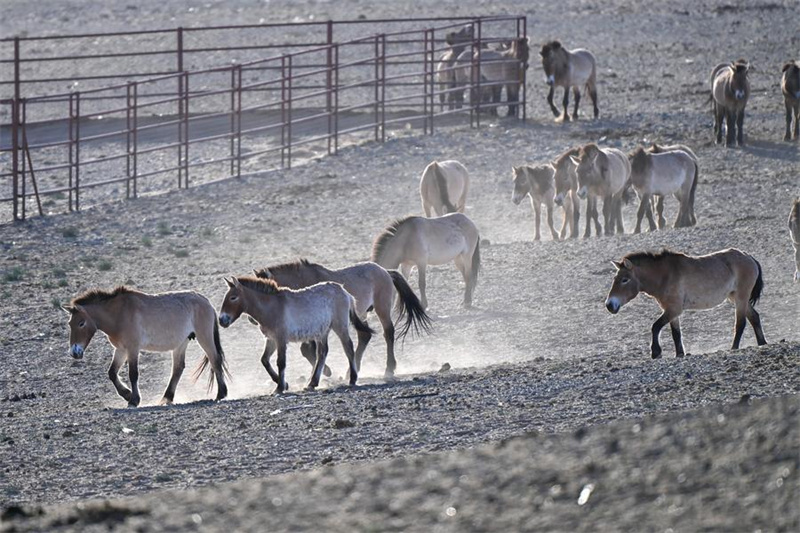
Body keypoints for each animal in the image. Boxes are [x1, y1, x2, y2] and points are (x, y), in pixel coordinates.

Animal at [61, 286, 228, 407]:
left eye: (81, 323)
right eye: (70, 323)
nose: (74, 352)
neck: (119, 314)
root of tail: (206, 301)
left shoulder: (133, 349)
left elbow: (133, 374)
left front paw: (133, 400)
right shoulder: (121, 349)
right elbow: (112, 373)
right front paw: (127, 394)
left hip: (204, 337)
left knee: (215, 359)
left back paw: (221, 394)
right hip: (181, 343)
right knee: (178, 368)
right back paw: (166, 398)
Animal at [218, 276, 373, 394]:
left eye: (233, 297)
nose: (221, 320)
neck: (271, 306)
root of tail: (344, 291)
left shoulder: (281, 339)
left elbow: (281, 362)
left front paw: (280, 388)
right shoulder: (271, 339)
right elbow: (264, 360)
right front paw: (283, 384)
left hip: (340, 327)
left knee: (348, 348)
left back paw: (352, 379)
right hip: (322, 332)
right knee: (322, 353)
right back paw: (312, 383)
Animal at [254, 259, 432, 379]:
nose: (253, 320)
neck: (303, 281)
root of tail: (386, 272)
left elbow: (308, 350)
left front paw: (325, 371)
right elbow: (307, 350)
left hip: (382, 309)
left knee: (388, 333)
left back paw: (389, 368)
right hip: (361, 314)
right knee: (365, 336)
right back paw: (351, 371)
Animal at [605, 249, 767, 359]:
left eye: (625, 279)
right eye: (614, 279)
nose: (609, 305)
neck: (664, 276)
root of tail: (748, 257)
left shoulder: (674, 309)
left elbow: (655, 326)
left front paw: (656, 352)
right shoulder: (671, 311)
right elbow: (676, 333)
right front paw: (679, 354)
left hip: (741, 298)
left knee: (740, 323)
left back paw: (734, 348)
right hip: (737, 299)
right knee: (754, 317)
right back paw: (762, 343)